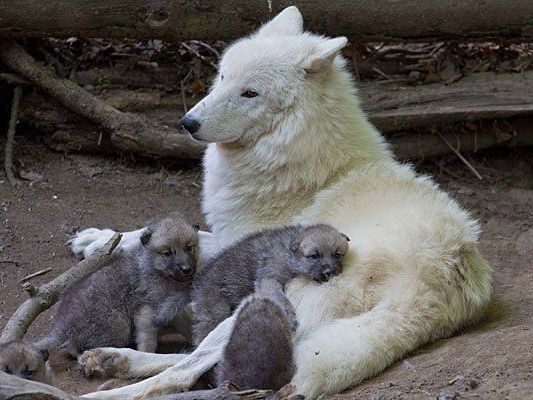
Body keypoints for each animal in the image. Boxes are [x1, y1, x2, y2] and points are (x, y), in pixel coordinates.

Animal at [74, 6, 490, 400]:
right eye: (223, 77)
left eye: (250, 93)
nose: (187, 122)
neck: (302, 160)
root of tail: (438, 281)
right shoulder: (227, 239)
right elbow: (170, 236)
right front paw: (97, 239)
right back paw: (112, 358)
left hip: (270, 301)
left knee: (184, 371)